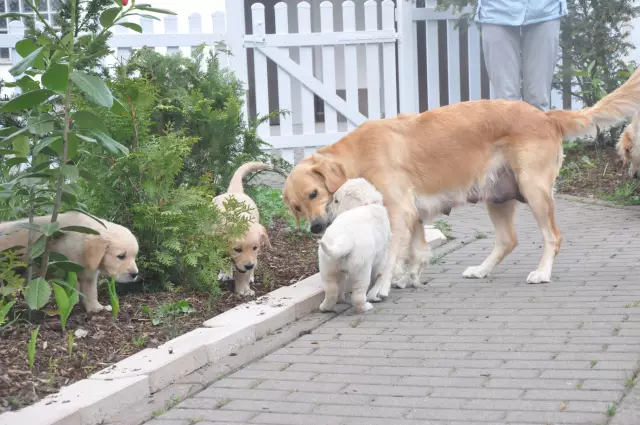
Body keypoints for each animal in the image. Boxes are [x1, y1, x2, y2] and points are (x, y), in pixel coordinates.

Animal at [0, 211, 139, 312]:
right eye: (121, 256)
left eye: (134, 256)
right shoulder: (63, 267)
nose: (135, 274)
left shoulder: (89, 273)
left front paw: (95, 307)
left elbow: (91, 290)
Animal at [214, 161, 272, 296]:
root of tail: (234, 191)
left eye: (255, 247)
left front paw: (244, 288)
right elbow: (224, 260)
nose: (249, 266)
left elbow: (243, 274)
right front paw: (225, 273)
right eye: (237, 249)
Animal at [318, 177, 392, 314]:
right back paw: (365, 306)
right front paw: (375, 295)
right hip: (361, 270)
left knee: (331, 290)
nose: (326, 209)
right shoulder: (382, 255)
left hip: (327, 266)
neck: (366, 204)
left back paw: (326, 307)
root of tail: (345, 238)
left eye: (336, 201)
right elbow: (380, 274)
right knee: (358, 297)